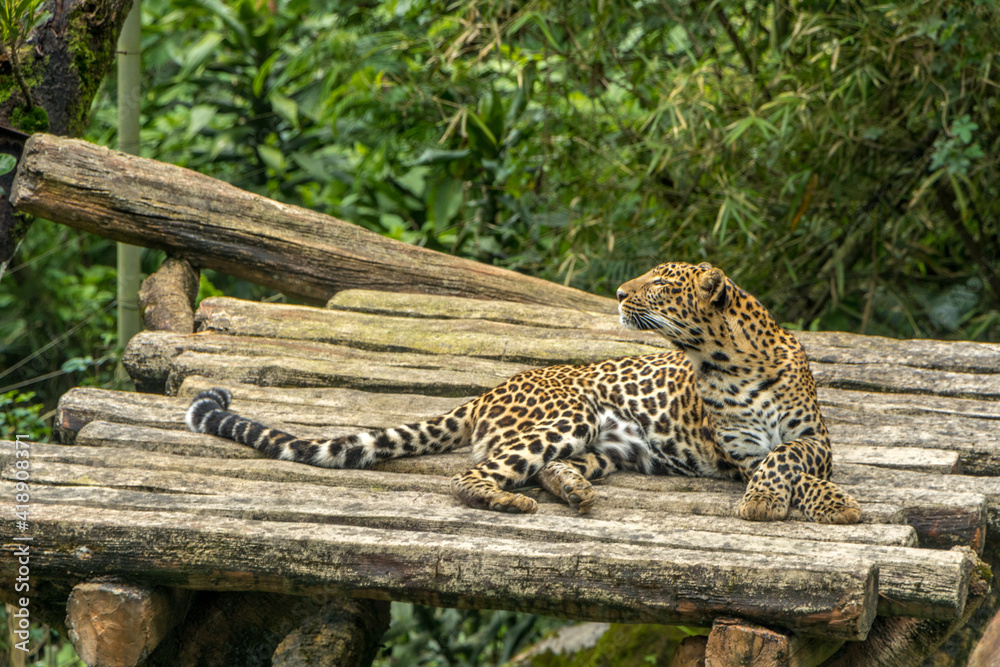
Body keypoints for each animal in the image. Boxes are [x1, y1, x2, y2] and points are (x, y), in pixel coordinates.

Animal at [187, 261, 861, 524]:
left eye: (660, 285)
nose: (620, 293)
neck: (725, 359)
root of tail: (490, 388)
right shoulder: (739, 451)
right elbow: (777, 464)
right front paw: (789, 503)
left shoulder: (817, 440)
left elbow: (792, 457)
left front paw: (828, 501)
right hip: (568, 416)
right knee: (473, 477)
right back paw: (511, 502)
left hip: (609, 446)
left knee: (552, 469)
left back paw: (574, 491)